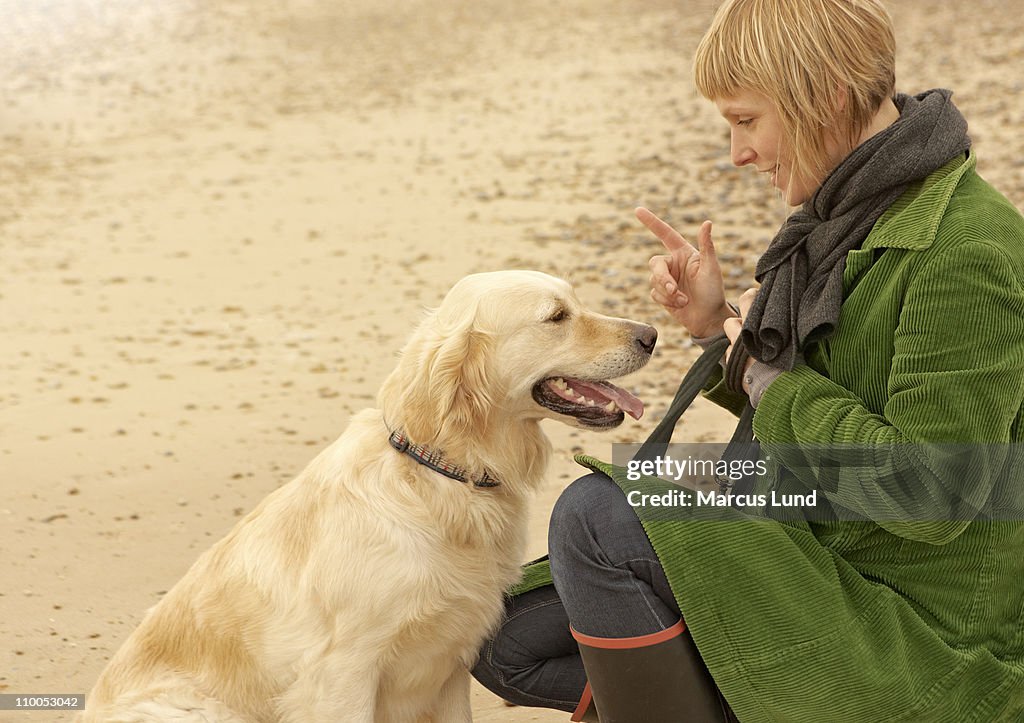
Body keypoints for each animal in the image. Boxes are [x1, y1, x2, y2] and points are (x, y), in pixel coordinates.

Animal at [79, 270, 655, 720]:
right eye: (556, 316)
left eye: (575, 301)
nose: (651, 334)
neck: (440, 475)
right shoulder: (342, 673)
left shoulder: (450, 663)